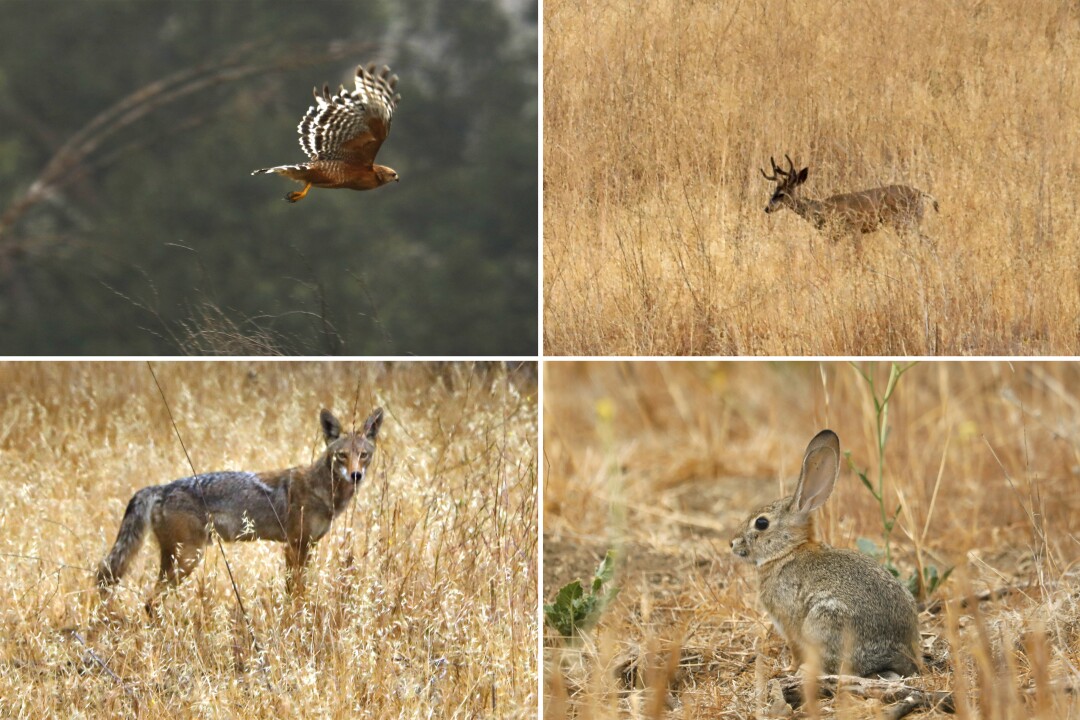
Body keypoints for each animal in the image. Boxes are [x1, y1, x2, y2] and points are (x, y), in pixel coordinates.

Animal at [730, 429, 920, 677]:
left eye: (761, 523)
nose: (732, 543)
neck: (786, 551)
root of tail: (896, 650)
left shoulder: (789, 623)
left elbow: (795, 649)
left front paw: (787, 669)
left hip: (824, 620)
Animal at [760, 155, 938, 238]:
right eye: (773, 191)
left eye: (781, 194)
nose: (767, 208)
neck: (822, 209)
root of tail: (921, 193)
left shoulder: (855, 228)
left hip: (906, 222)